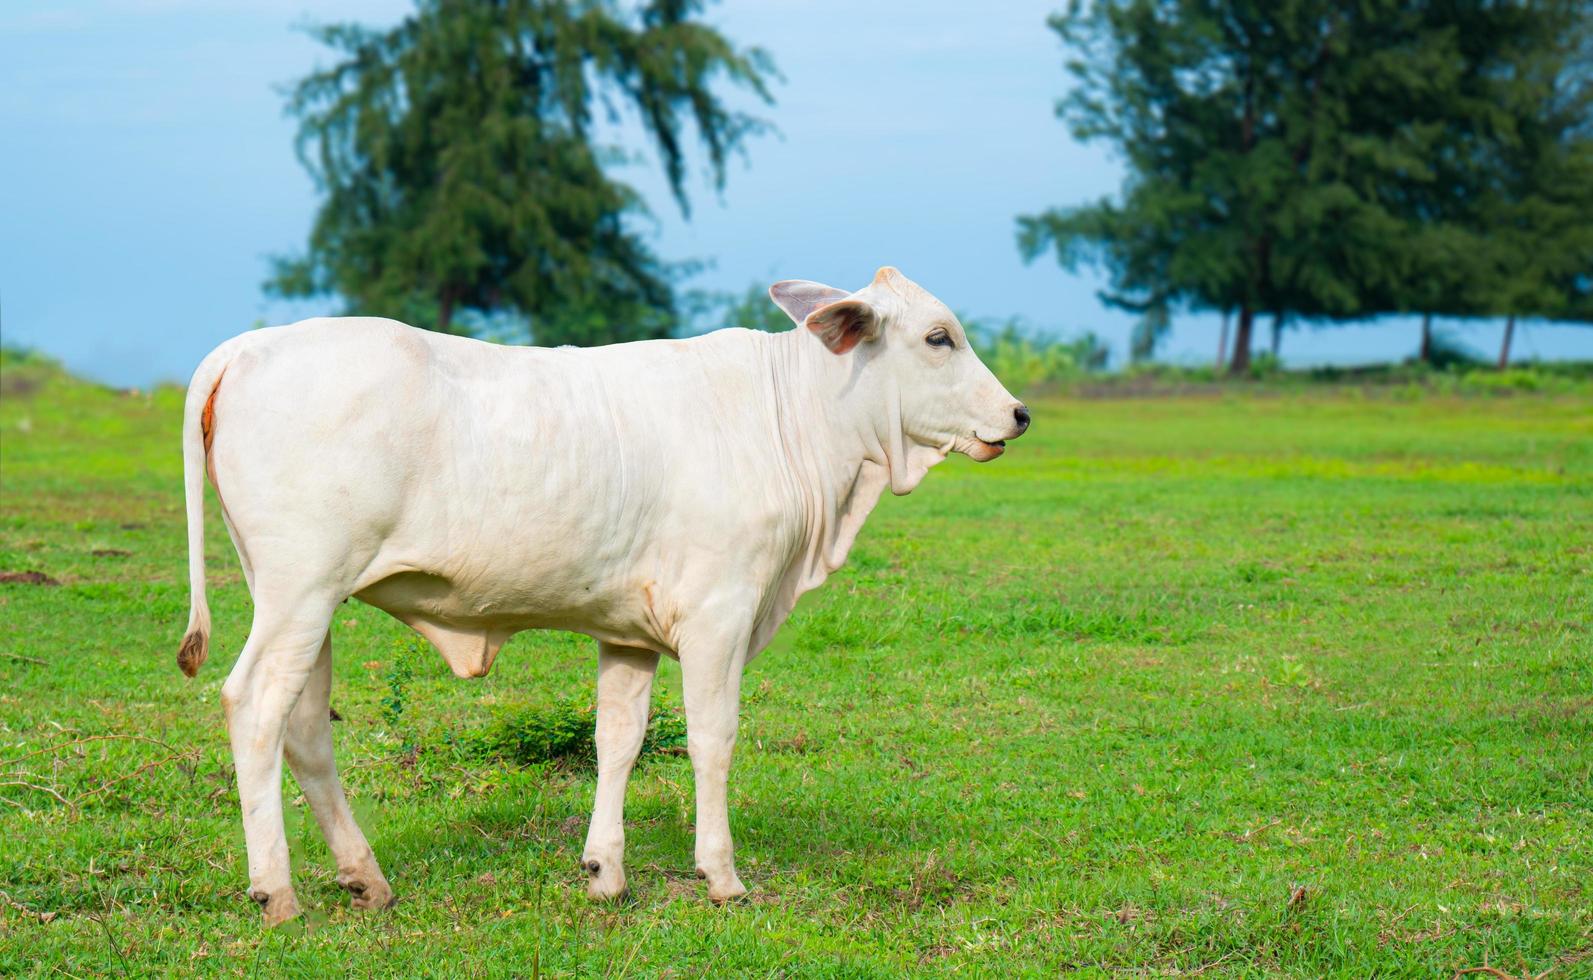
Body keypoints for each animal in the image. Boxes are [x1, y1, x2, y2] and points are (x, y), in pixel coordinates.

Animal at [174, 264, 1019, 924]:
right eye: (938, 338)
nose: (1017, 414)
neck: (792, 422)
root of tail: (247, 345)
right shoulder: (720, 615)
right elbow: (713, 738)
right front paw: (721, 874)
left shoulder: (628, 630)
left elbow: (617, 740)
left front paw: (604, 871)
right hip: (302, 590)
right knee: (255, 706)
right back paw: (276, 889)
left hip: (301, 600)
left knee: (305, 725)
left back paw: (365, 876)